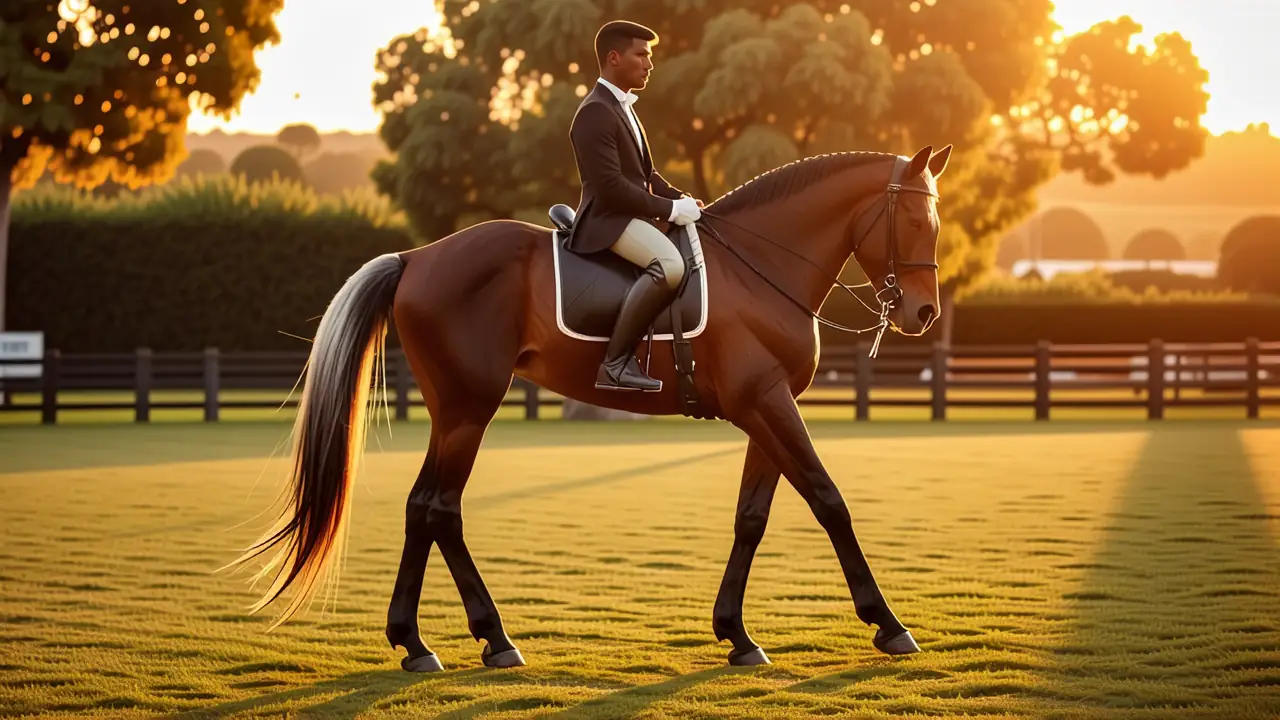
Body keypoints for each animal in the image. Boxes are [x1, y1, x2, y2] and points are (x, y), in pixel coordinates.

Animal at [225, 143, 952, 672]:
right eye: (916, 221)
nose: (922, 314)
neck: (758, 267)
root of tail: (416, 257)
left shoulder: (763, 409)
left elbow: (752, 518)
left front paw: (737, 635)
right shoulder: (767, 404)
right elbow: (830, 501)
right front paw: (888, 624)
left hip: (457, 412)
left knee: (427, 509)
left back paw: (438, 641)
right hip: (468, 409)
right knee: (437, 507)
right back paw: (471, 641)